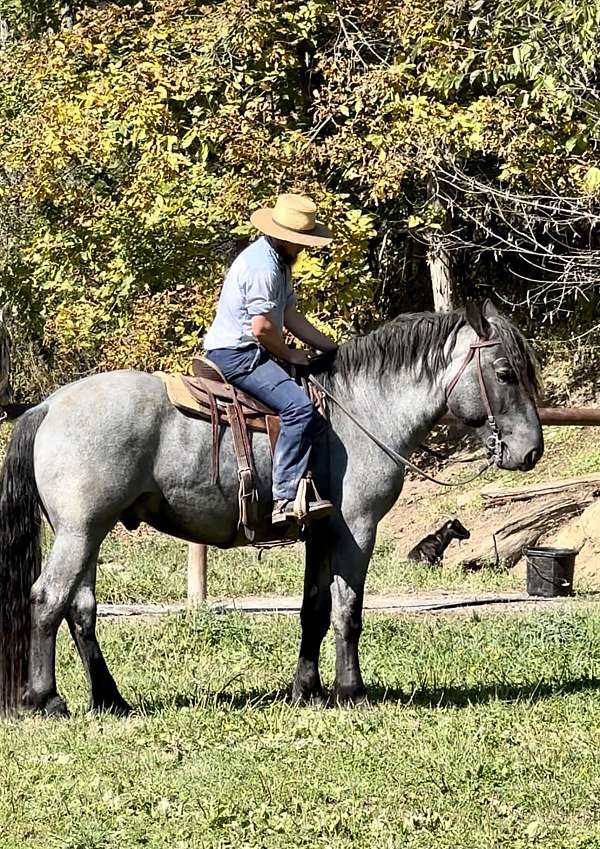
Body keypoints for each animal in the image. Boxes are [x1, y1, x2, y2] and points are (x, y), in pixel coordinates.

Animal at [0, 300, 544, 716]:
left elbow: (314, 610)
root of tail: (47, 406)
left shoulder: (322, 532)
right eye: (504, 372)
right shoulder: (356, 531)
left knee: (81, 610)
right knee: (47, 599)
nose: (531, 452)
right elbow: (348, 611)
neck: (364, 410)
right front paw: (352, 692)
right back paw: (45, 699)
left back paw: (110, 699)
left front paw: (308, 690)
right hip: (80, 530)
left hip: (90, 532)